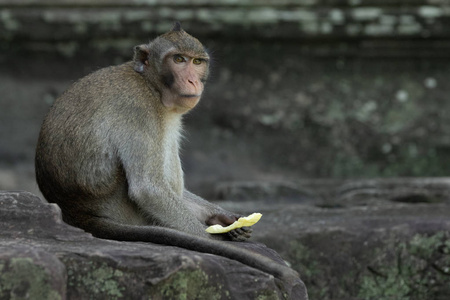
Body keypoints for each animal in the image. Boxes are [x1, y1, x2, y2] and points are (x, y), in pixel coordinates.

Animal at [36, 22, 302, 284]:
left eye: (197, 62)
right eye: (179, 59)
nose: (193, 82)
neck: (151, 85)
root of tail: (76, 212)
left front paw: (226, 219)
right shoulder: (139, 110)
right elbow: (149, 189)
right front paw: (211, 238)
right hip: (128, 212)